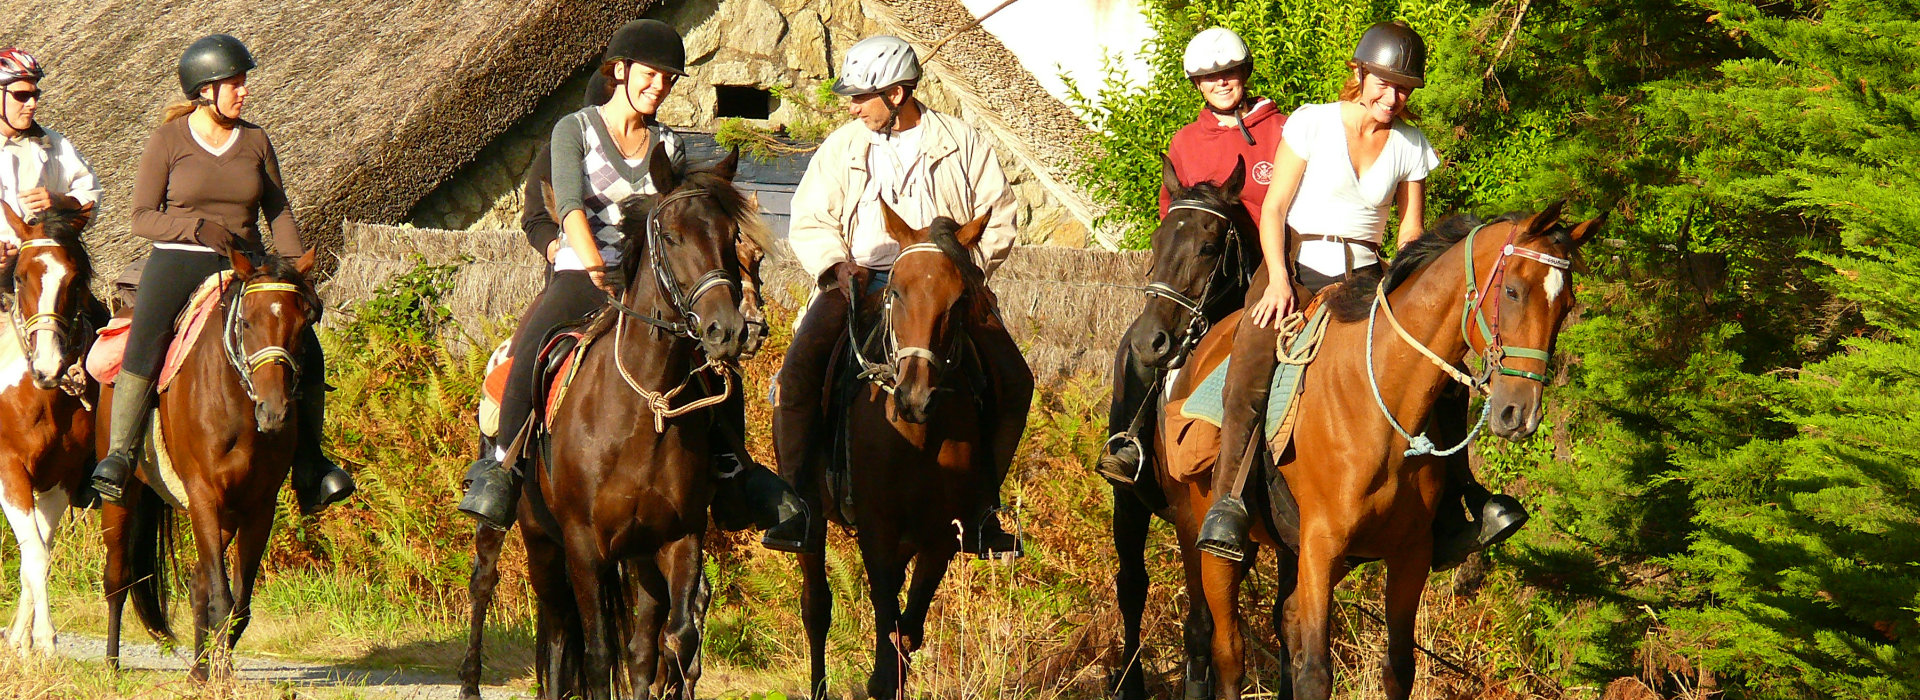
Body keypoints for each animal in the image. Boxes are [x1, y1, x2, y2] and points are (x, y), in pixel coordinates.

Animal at [101, 247, 320, 675]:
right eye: (246, 322)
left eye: (304, 322)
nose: (275, 411)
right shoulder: (203, 496)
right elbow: (222, 600)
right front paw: (219, 678)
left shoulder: (258, 507)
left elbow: (239, 606)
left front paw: (215, 672)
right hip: (123, 496)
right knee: (118, 578)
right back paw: (113, 667)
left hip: (226, 516)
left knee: (198, 583)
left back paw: (198, 669)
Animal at [787, 201, 1021, 698]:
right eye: (895, 290)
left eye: (959, 301)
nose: (914, 396)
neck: (918, 438)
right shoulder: (878, 529)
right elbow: (886, 618)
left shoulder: (940, 537)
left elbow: (907, 629)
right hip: (813, 526)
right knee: (815, 607)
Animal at [1105, 158, 1267, 698]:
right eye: (1156, 243)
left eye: (1209, 247)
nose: (1149, 343)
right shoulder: (1186, 517)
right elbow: (1199, 623)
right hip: (1128, 505)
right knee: (1132, 586)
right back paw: (1129, 679)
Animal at [1152, 200, 1605, 694]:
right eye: (1513, 291)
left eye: (1566, 305)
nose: (1520, 413)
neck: (1379, 405)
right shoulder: (1321, 547)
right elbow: (1314, 672)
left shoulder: (1410, 554)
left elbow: (1399, 668)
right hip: (1206, 541)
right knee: (1228, 651)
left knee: (1284, 622)